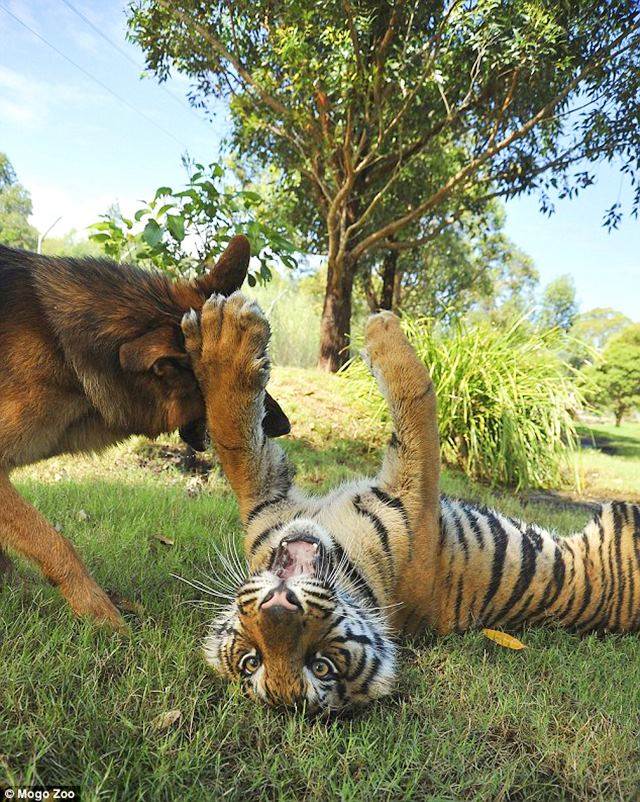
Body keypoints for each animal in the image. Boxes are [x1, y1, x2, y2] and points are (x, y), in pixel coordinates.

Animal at [180, 292, 640, 713]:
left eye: (320, 666)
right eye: (254, 661)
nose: (278, 606)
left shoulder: (267, 497)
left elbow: (233, 436)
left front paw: (218, 338)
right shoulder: (417, 496)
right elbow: (418, 392)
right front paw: (382, 326)